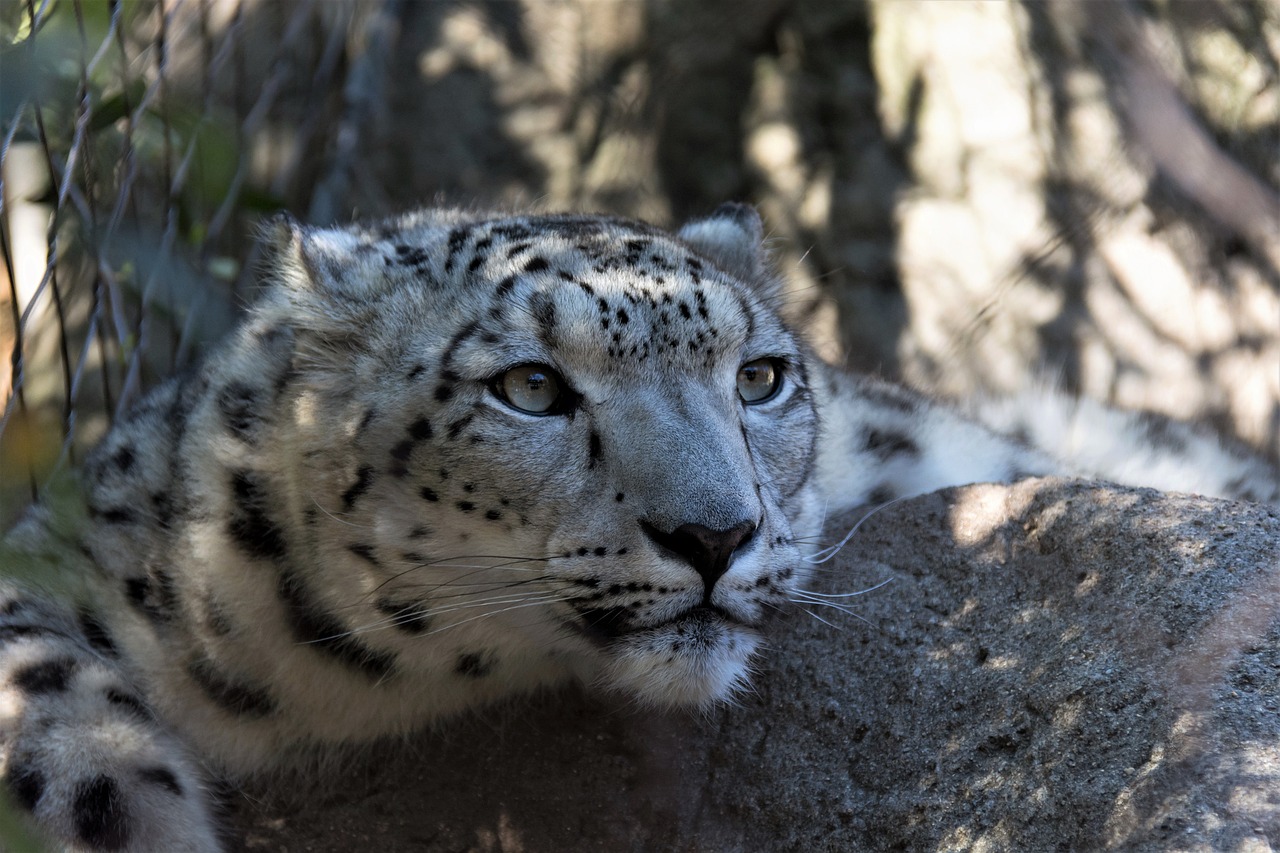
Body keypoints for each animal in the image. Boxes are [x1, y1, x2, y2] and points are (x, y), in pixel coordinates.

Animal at [2, 202, 1280, 845]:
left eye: (760, 376)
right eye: (527, 387)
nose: (715, 533)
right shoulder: (73, 546)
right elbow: (46, 695)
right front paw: (136, 822)